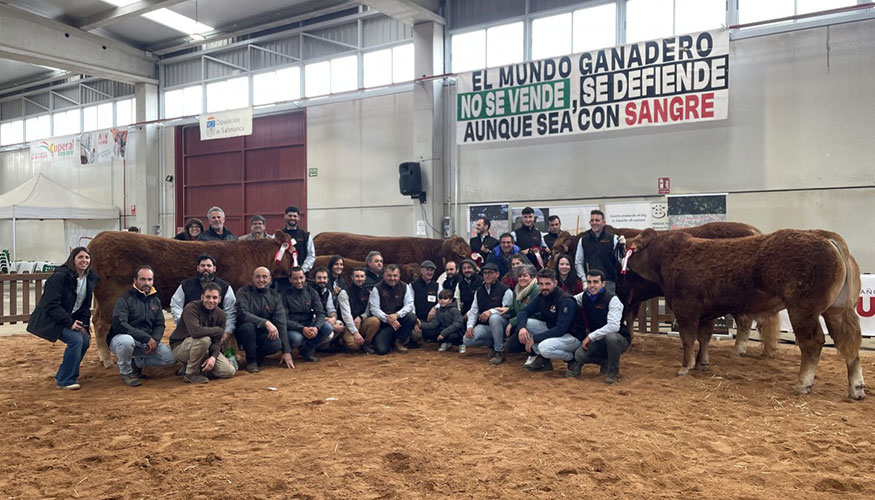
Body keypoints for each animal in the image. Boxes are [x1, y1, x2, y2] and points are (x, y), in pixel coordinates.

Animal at [88, 230, 298, 368]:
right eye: (293, 252)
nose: (299, 269)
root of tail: (97, 239)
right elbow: (233, 328)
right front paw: (236, 355)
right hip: (110, 296)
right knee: (100, 324)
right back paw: (106, 359)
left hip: (101, 299)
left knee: (94, 319)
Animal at [628, 229, 864, 400]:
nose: (624, 244)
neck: (668, 257)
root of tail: (823, 236)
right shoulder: (707, 314)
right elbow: (704, 338)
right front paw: (702, 364)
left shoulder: (686, 309)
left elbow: (688, 339)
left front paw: (685, 367)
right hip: (837, 311)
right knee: (849, 343)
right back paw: (856, 388)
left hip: (802, 310)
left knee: (813, 343)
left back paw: (802, 383)